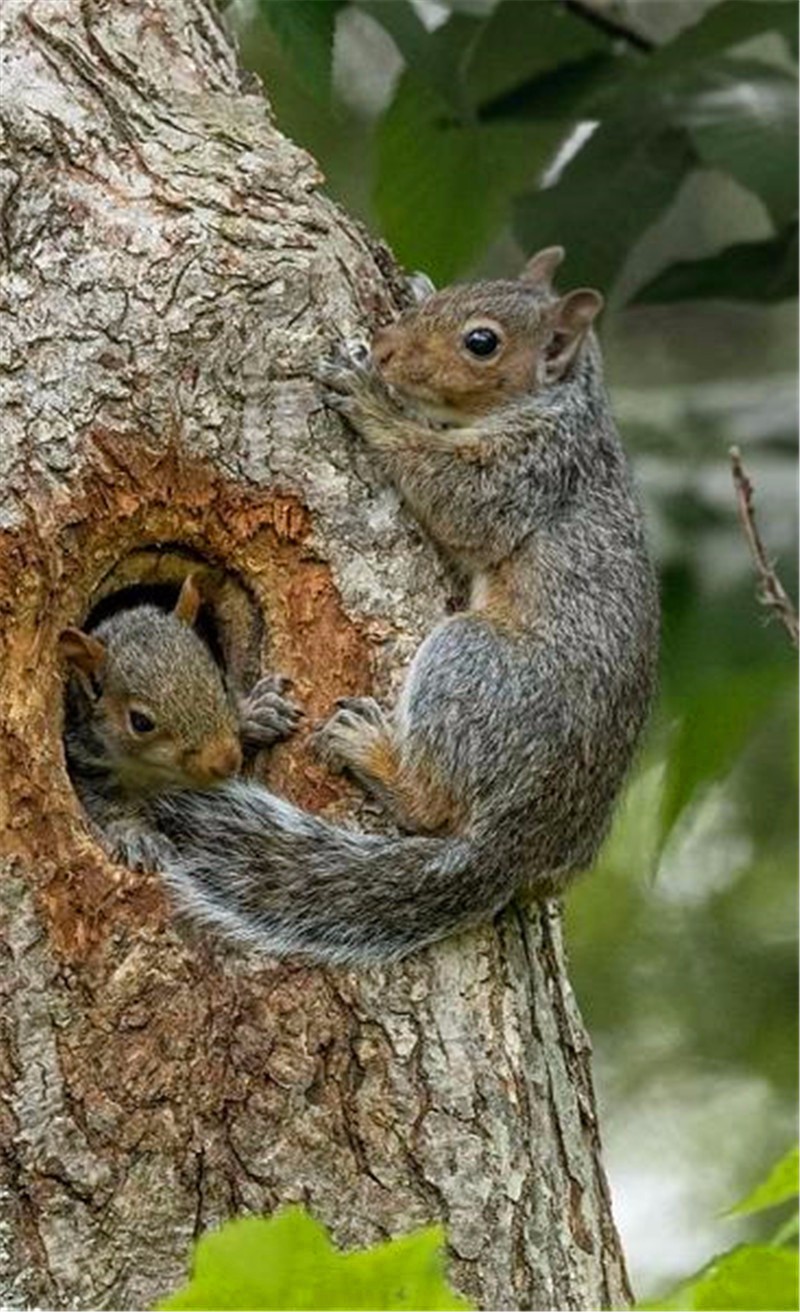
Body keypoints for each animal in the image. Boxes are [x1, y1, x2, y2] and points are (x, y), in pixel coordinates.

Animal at [59, 574, 300, 871]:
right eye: (140, 722)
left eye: (222, 681)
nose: (227, 761)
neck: (148, 768)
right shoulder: (85, 760)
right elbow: (105, 804)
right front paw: (140, 835)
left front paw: (258, 713)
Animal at [146, 247, 658, 965]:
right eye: (452, 293)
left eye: (482, 343)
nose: (385, 349)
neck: (566, 404)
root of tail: (518, 844)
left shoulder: (527, 472)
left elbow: (456, 497)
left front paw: (370, 399)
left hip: (477, 664)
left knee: (431, 806)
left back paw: (369, 748)